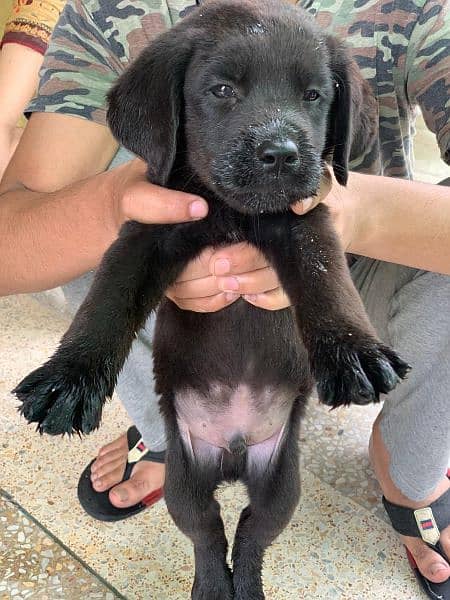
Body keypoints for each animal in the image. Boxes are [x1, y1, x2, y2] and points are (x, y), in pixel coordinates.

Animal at [14, 1, 410, 600]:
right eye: (222, 90)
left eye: (313, 96)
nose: (281, 154)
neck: (233, 211)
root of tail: (234, 454)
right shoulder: (146, 231)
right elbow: (107, 303)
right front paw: (70, 379)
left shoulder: (306, 222)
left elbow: (328, 283)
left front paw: (353, 351)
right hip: (183, 480)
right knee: (206, 531)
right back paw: (213, 586)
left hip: (281, 483)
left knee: (250, 531)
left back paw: (244, 585)